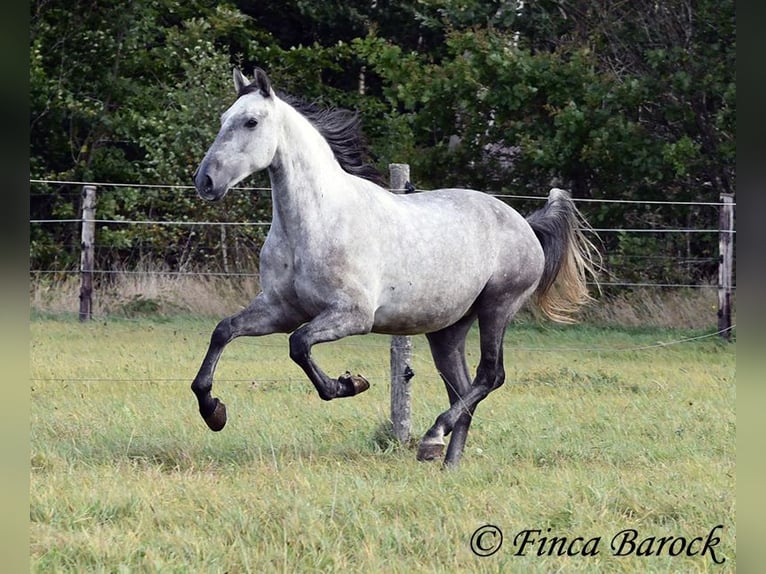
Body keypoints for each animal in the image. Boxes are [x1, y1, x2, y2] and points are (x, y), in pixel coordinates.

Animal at [190, 67, 600, 470]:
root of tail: (525, 224)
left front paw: (349, 384)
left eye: (251, 122)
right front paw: (214, 412)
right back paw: (447, 462)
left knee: (490, 375)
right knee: (462, 385)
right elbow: (224, 331)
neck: (316, 222)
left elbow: (299, 345)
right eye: (223, 119)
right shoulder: (280, 309)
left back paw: (432, 438)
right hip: (448, 330)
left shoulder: (353, 316)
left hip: (497, 307)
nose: (205, 181)